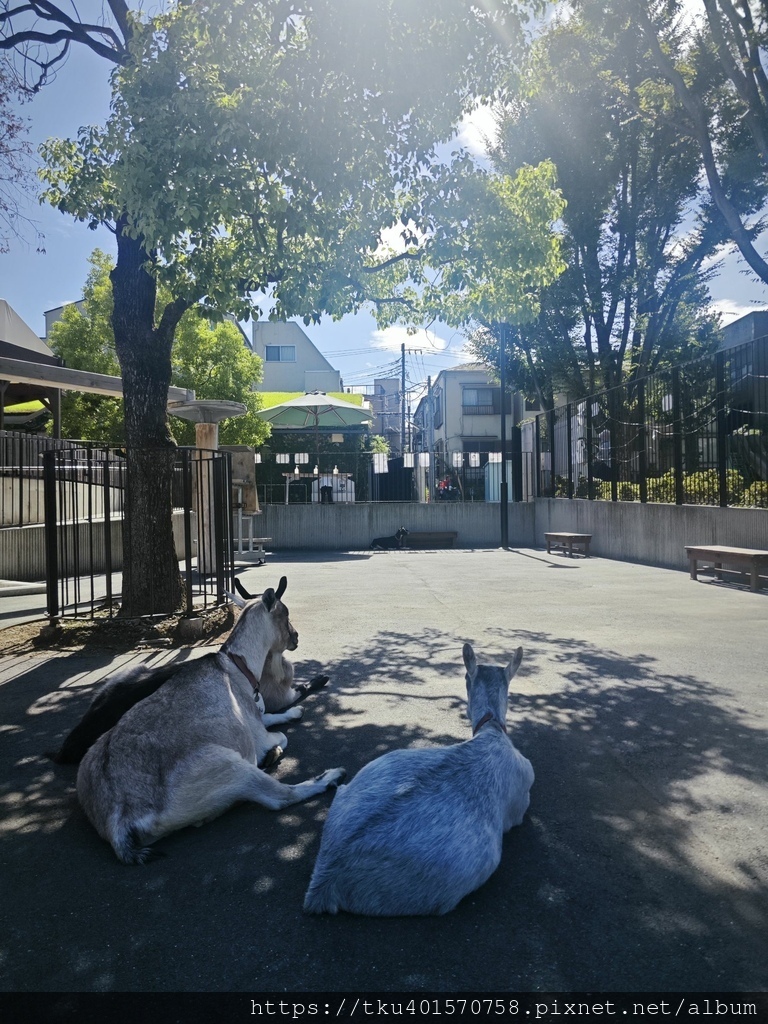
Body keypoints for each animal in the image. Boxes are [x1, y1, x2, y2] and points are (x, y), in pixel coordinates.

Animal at [75, 577, 346, 864]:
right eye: (285, 614)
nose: (295, 637)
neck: (236, 666)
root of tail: (119, 822)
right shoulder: (256, 734)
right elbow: (279, 736)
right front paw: (273, 750)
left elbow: (270, 716)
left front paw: (294, 713)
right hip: (228, 765)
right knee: (279, 797)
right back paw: (329, 776)